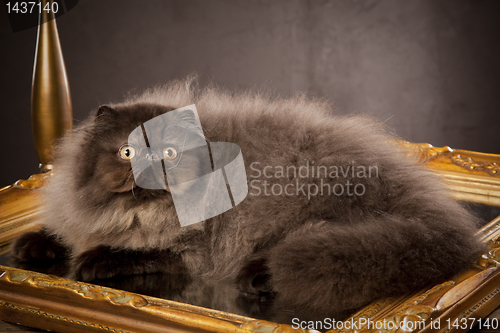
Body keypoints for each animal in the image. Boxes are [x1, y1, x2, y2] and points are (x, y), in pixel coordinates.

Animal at [11, 77, 484, 320]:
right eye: (127, 152)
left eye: (169, 152)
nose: (149, 166)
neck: (137, 214)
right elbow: (66, 234)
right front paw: (34, 244)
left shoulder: (192, 252)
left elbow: (133, 252)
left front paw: (93, 260)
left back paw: (260, 276)